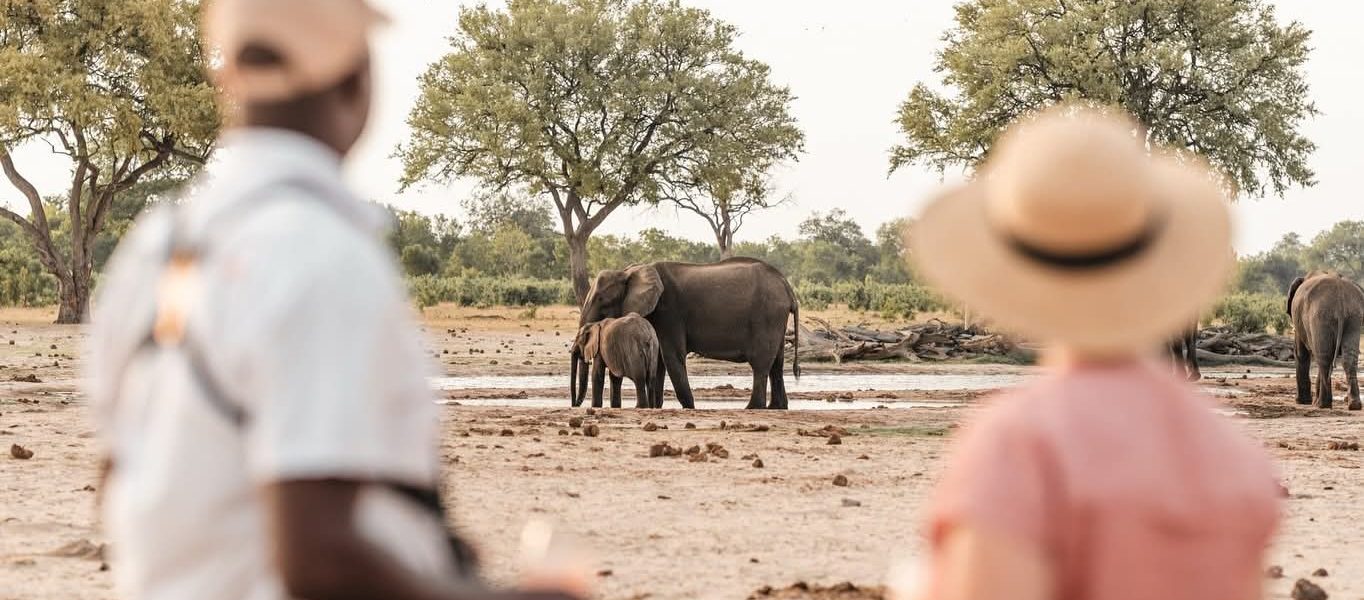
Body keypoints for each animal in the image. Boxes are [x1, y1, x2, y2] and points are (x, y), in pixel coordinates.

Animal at [579, 257, 800, 410]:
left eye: (602, 300)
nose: (576, 404)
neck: (630, 271)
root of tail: (787, 287)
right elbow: (659, 361)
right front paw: (656, 407)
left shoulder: (669, 312)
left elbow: (671, 356)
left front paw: (689, 407)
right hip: (776, 320)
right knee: (777, 363)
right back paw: (777, 407)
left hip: (767, 317)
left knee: (761, 364)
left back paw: (752, 407)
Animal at [1287, 272, 1364, 410]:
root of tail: (1340, 298)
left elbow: (1301, 354)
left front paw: (1302, 402)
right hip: (1353, 317)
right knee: (1347, 358)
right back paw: (1354, 405)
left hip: (1320, 316)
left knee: (1323, 358)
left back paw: (1322, 404)